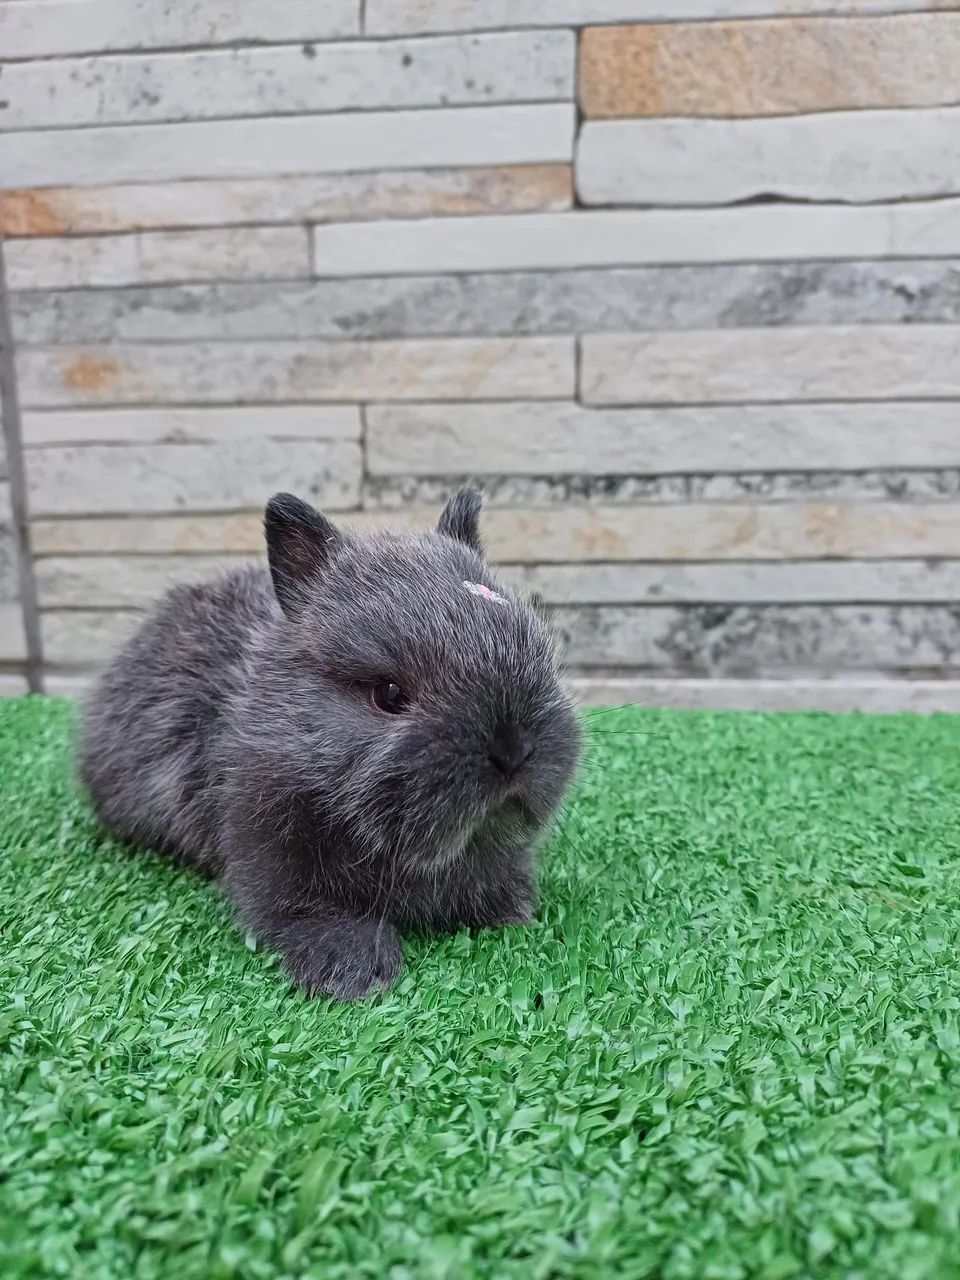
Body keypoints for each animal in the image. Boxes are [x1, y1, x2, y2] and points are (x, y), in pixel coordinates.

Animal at [79, 487, 582, 1001]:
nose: (513, 750)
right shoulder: (269, 847)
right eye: (389, 695)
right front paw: (353, 968)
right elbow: (305, 908)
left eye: (537, 649)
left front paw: (510, 912)